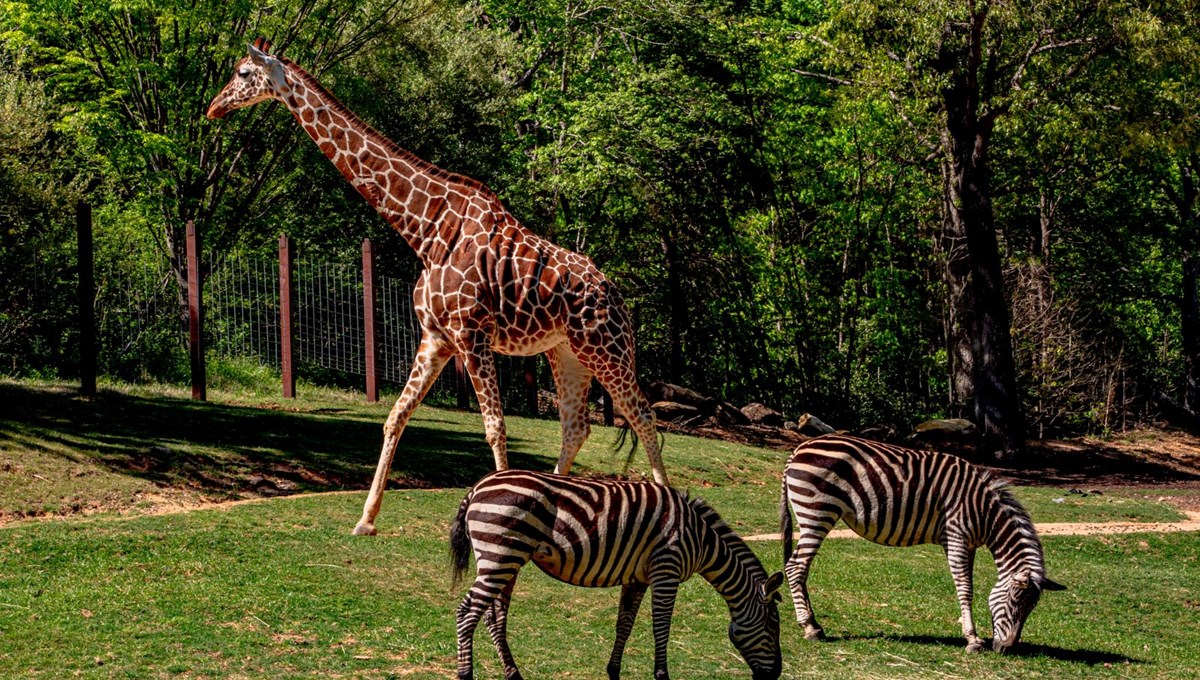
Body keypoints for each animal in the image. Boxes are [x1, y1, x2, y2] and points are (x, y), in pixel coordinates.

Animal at [210, 39, 672, 534]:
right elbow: (395, 417)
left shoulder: (472, 334)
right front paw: (366, 520)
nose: (214, 107)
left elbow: (494, 427)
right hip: (566, 353)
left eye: (242, 72)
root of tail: (618, 296)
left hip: (606, 348)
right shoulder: (436, 338)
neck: (426, 229)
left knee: (643, 415)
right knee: (576, 426)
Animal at [448, 470, 777, 676]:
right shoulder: (666, 570)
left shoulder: (638, 579)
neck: (700, 538)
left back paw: (513, 674)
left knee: (493, 617)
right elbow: (661, 628)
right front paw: (662, 674)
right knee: (466, 612)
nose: (775, 675)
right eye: (772, 626)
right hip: (499, 556)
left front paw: (614, 671)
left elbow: (625, 625)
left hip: (507, 560)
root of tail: (476, 488)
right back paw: (465, 673)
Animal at [777, 436, 1070, 652]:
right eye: (1015, 602)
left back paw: (814, 624)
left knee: (799, 568)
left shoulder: (970, 544)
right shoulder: (956, 535)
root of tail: (799, 449)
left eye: (1031, 609)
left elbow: (968, 584)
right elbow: (965, 588)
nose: (1006, 649)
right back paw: (809, 628)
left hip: (812, 516)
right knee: (795, 568)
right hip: (817, 513)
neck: (985, 513)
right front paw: (973, 640)